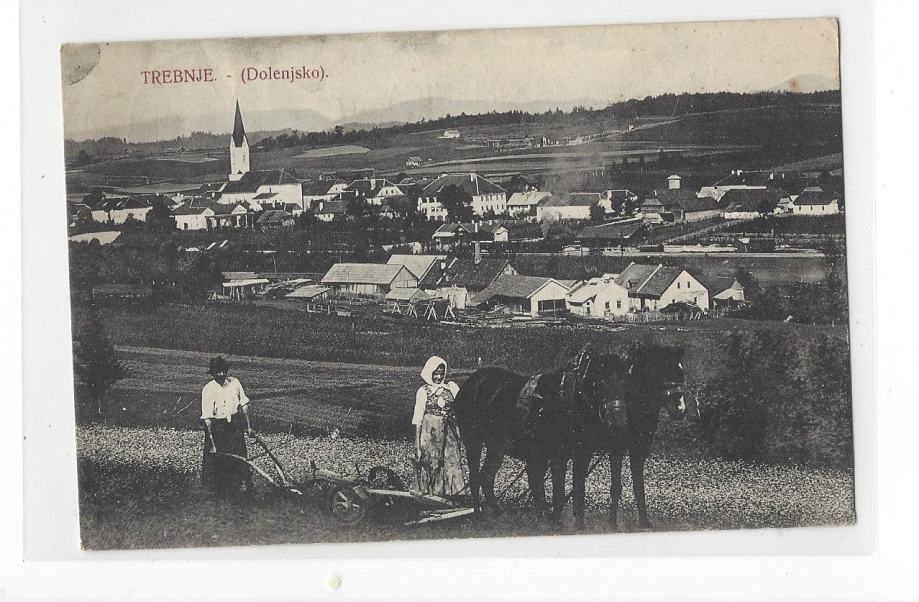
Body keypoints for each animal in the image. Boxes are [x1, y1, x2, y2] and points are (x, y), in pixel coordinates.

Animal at [456, 340, 688, 528]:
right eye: (663, 370)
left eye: (681, 372)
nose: (681, 408)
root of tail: (472, 380)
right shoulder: (575, 453)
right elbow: (566, 488)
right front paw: (565, 522)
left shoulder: (599, 452)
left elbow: (596, 486)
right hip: (474, 442)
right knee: (477, 476)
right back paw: (479, 515)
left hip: (498, 446)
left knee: (489, 476)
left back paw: (501, 512)